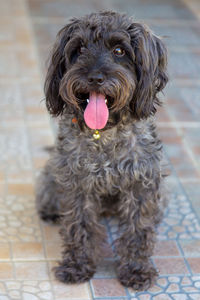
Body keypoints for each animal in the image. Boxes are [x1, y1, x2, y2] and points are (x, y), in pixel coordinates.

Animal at [35, 11, 167, 290]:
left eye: (119, 50)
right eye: (79, 49)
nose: (95, 78)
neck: (104, 133)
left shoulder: (141, 183)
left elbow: (138, 229)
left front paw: (136, 269)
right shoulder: (77, 184)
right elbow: (79, 225)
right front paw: (77, 266)